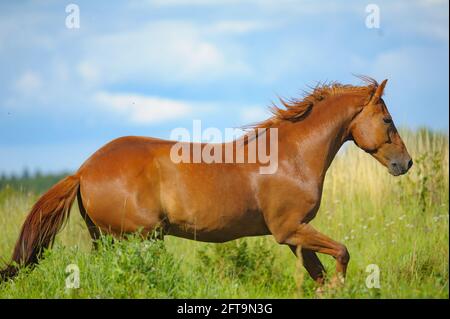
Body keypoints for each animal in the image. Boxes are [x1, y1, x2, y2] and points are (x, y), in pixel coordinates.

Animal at [0, 78, 414, 288]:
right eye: (388, 119)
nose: (405, 163)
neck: (293, 157)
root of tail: (83, 170)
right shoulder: (290, 229)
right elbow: (341, 253)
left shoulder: (296, 235)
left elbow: (320, 276)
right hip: (139, 238)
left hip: (108, 239)